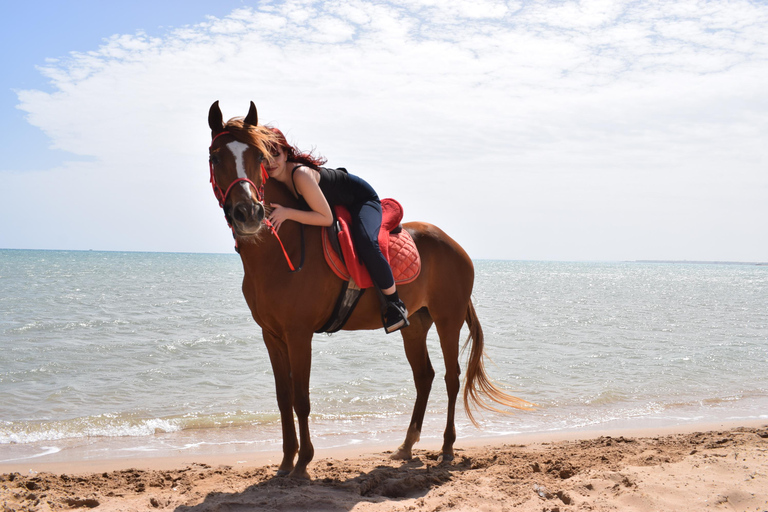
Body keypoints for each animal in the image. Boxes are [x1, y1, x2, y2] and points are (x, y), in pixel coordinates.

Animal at [206, 101, 532, 479]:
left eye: (259, 157)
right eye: (215, 157)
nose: (249, 212)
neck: (279, 252)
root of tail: (456, 247)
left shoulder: (299, 335)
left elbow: (301, 398)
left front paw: (303, 462)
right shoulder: (272, 335)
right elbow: (283, 397)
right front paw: (286, 461)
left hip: (448, 320)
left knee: (451, 378)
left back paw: (447, 447)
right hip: (416, 325)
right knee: (425, 376)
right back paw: (406, 445)